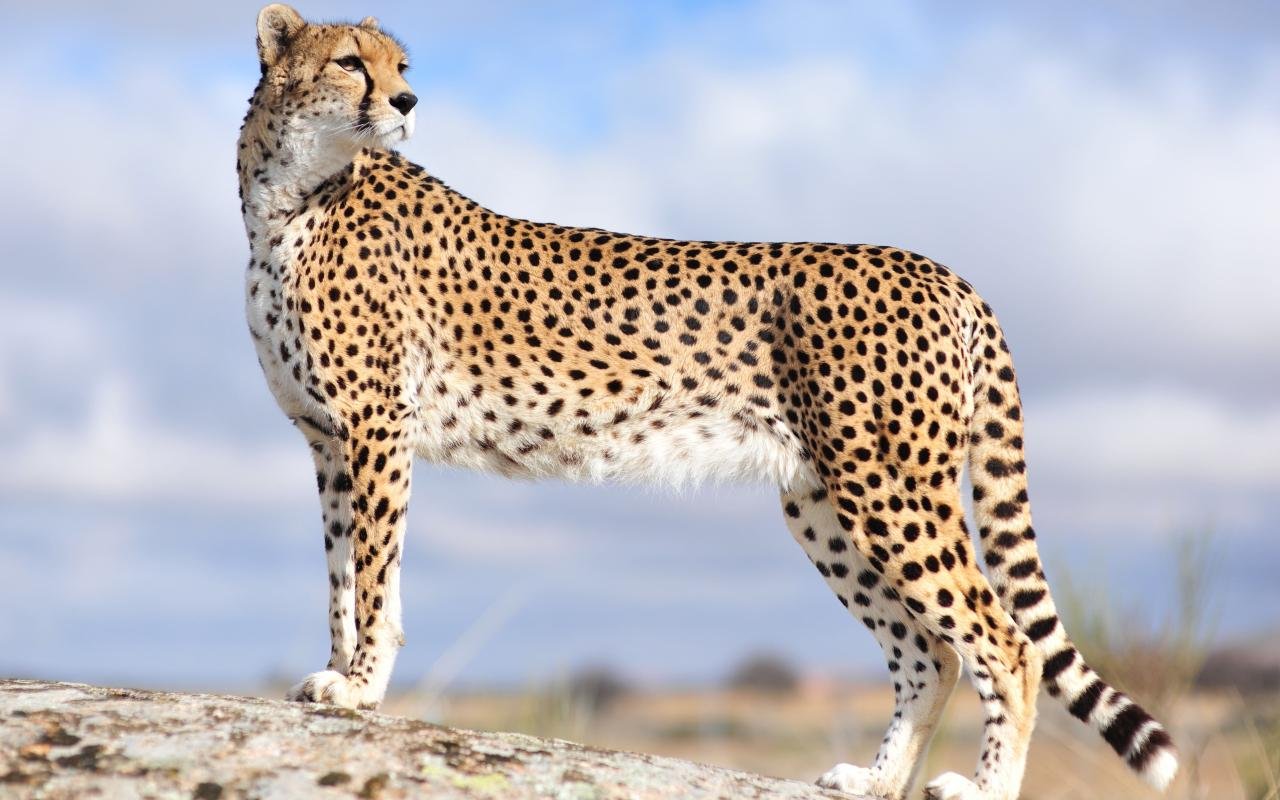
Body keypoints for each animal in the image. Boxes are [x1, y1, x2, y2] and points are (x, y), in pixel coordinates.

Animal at [235, 6, 1179, 799]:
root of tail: (942, 271)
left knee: (1004, 642)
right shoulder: (330, 440)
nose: (406, 100)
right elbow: (343, 574)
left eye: (401, 65)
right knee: (928, 653)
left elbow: (373, 571)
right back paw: (875, 780)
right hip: (822, 502)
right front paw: (337, 677)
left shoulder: (375, 429)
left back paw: (981, 788)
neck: (289, 195)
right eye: (351, 61)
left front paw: (361, 689)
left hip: (888, 487)